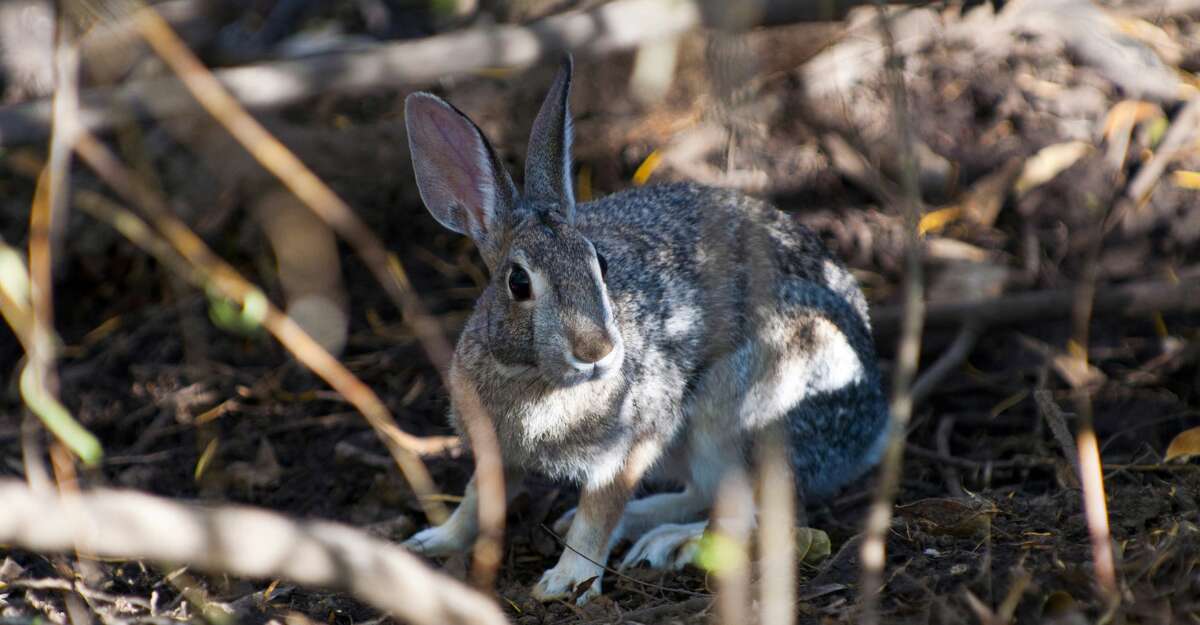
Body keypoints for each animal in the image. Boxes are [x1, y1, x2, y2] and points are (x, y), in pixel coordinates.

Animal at [398, 56, 888, 602]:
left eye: (601, 264)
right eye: (518, 282)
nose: (596, 350)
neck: (535, 378)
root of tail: (869, 429)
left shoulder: (634, 442)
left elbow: (599, 513)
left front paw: (566, 580)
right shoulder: (495, 452)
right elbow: (475, 499)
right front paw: (431, 542)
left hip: (740, 409)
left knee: (752, 514)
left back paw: (670, 544)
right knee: (705, 493)